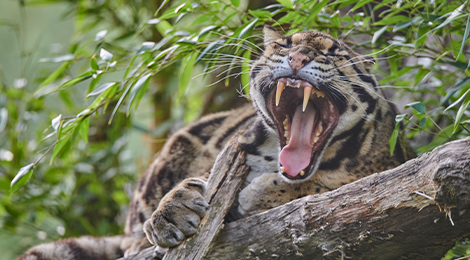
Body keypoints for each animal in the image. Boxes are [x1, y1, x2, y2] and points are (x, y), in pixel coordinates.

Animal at [18, 25, 414, 260]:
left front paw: (260, 193)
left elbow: (329, 186)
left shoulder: (386, 170)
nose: (297, 57)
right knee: (131, 240)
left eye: (332, 53)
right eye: (284, 45)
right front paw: (171, 211)